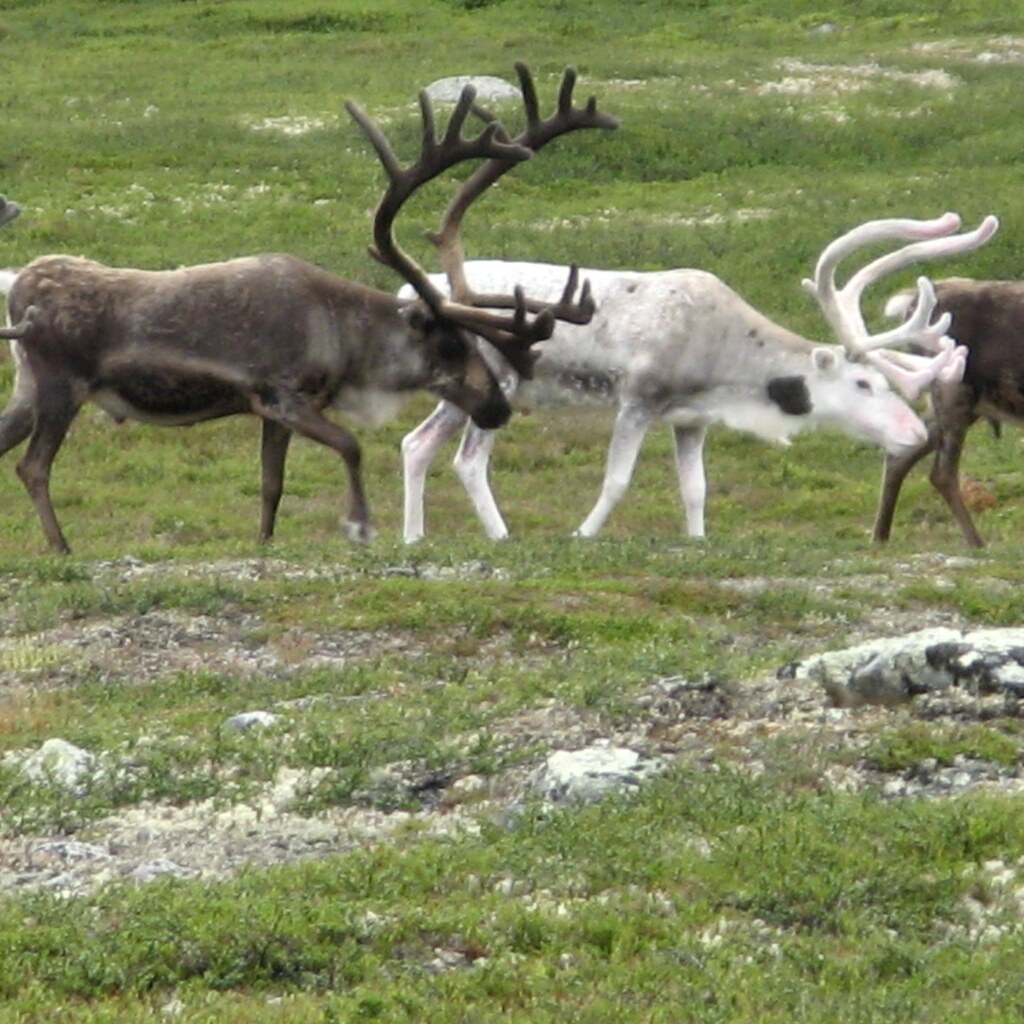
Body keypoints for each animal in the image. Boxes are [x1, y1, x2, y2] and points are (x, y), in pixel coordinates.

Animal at [0, 64, 617, 554]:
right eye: (448, 344)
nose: (497, 409)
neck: (344, 339)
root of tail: (18, 290)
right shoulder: (282, 394)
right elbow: (351, 444)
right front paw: (360, 526)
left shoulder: (272, 414)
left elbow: (271, 483)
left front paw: (264, 542)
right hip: (61, 385)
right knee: (33, 465)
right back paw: (61, 547)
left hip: (29, 389)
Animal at [399, 212, 998, 543]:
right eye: (863, 384)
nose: (915, 433)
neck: (728, 372)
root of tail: (409, 295)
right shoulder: (638, 398)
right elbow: (617, 480)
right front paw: (581, 534)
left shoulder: (692, 419)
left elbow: (696, 490)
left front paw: (697, 539)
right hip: (495, 382)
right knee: (467, 460)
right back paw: (500, 537)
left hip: (461, 392)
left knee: (416, 443)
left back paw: (412, 538)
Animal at [872, 276, 1024, 548]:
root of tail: (910, 304)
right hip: (954, 392)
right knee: (942, 473)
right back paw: (977, 542)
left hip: (954, 404)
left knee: (900, 455)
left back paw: (880, 537)